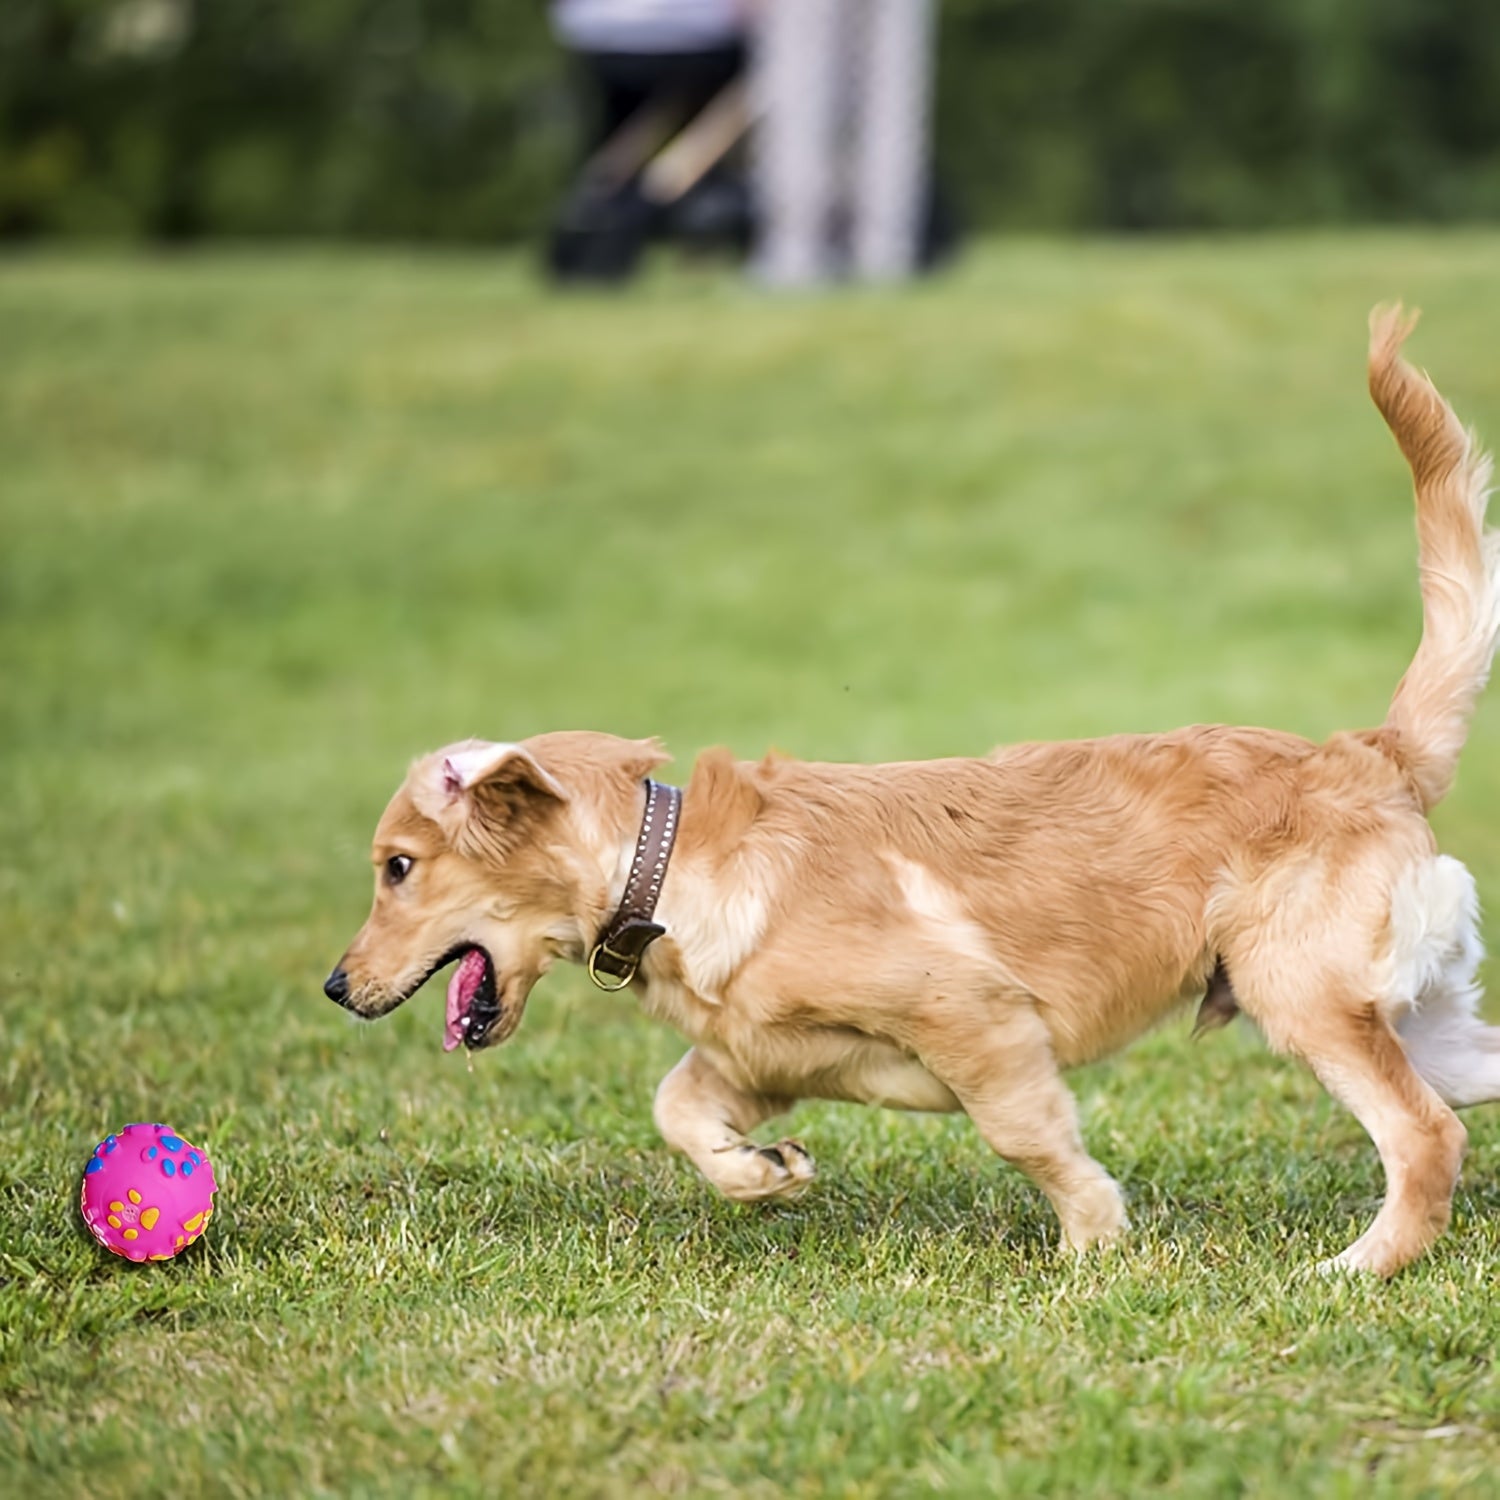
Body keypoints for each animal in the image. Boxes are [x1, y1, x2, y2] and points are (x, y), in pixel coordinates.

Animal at [325, 313, 1500, 1278]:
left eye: (398, 867)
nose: (336, 988)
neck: (668, 867)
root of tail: (1371, 753)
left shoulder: (977, 1020)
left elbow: (1026, 1135)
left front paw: (1094, 1240)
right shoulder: (758, 1056)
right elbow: (677, 1106)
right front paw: (765, 1172)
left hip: (1302, 993)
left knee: (1424, 1136)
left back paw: (1353, 1267)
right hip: (1411, 1014)